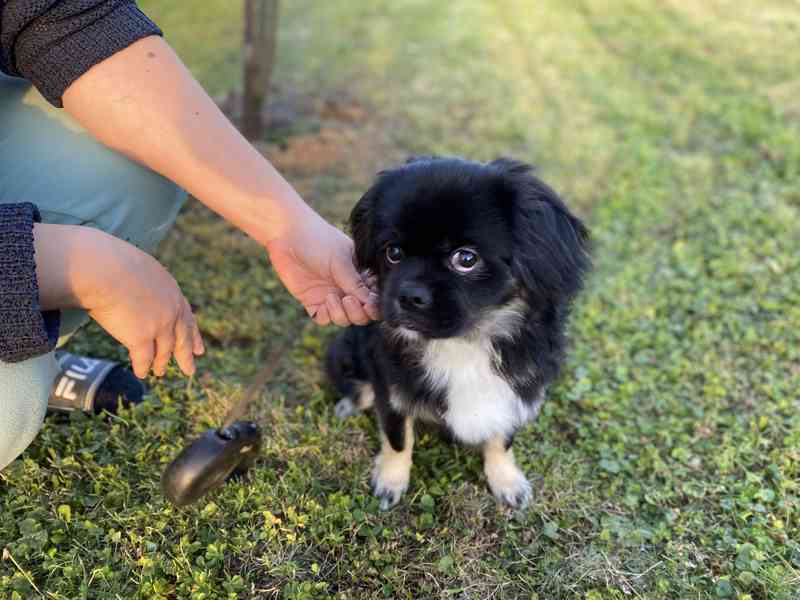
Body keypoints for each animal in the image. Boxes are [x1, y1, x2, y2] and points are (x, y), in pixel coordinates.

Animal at [324, 157, 588, 508]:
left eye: (466, 259)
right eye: (393, 253)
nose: (409, 295)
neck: (464, 342)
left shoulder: (516, 388)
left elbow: (502, 439)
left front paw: (506, 480)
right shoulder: (391, 387)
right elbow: (398, 438)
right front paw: (391, 481)